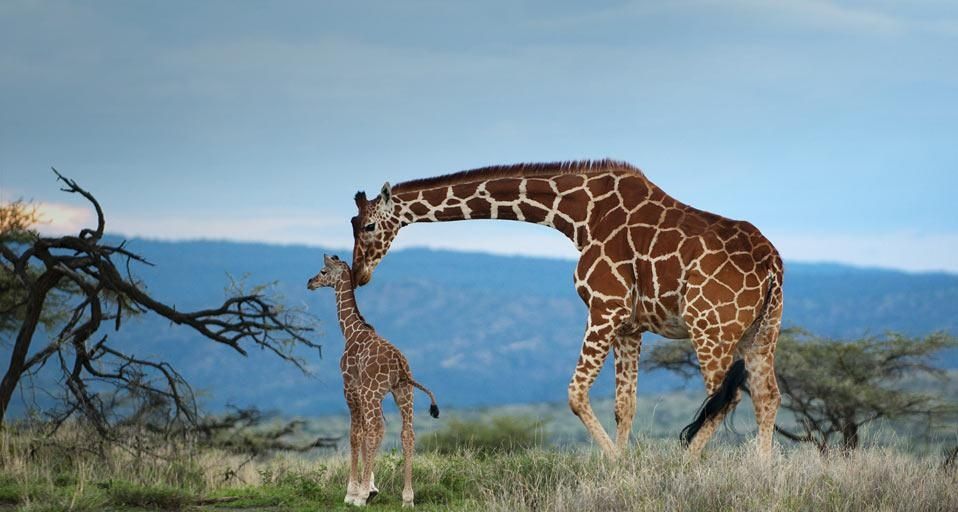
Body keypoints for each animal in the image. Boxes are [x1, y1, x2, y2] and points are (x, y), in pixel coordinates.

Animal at [307, 254, 440, 507]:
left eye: (322, 271)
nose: (310, 282)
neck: (350, 331)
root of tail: (399, 362)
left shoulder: (351, 387)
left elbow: (356, 434)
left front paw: (354, 492)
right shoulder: (368, 392)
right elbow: (366, 431)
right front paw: (369, 486)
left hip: (373, 393)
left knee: (376, 430)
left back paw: (362, 497)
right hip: (403, 392)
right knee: (406, 434)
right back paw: (407, 498)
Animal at [349, 160, 783, 458]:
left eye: (368, 226)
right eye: (353, 225)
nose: (359, 274)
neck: (579, 214)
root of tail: (771, 264)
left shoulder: (605, 307)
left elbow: (576, 393)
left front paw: (614, 463)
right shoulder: (629, 325)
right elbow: (625, 405)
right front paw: (624, 464)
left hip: (711, 328)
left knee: (727, 398)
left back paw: (687, 464)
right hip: (761, 332)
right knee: (767, 397)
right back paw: (761, 471)